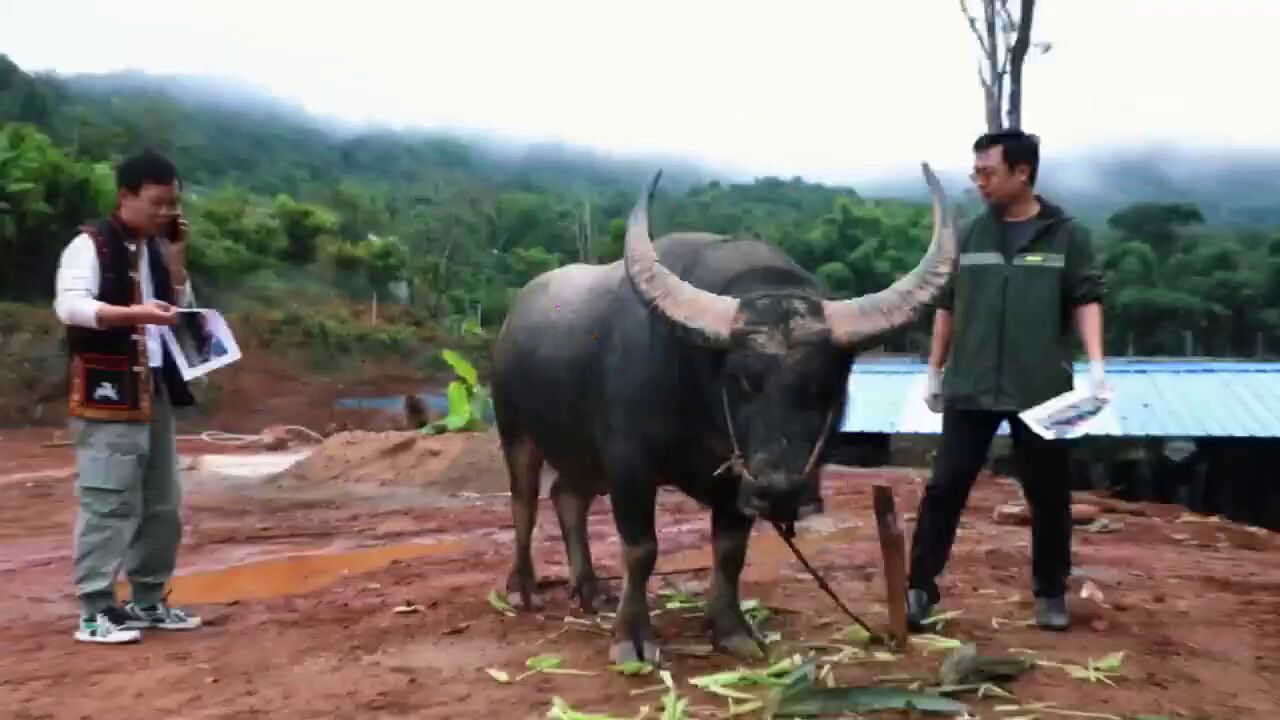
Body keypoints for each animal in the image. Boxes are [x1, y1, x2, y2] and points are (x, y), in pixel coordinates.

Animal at [488, 162, 962, 661]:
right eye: (741, 380)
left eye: (824, 387)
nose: (780, 491)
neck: (698, 401)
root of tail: (513, 318)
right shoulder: (628, 462)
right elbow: (640, 548)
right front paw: (632, 636)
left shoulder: (737, 479)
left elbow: (730, 551)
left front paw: (730, 627)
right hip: (517, 431)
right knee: (525, 504)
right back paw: (523, 587)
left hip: (584, 456)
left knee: (567, 496)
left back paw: (590, 589)